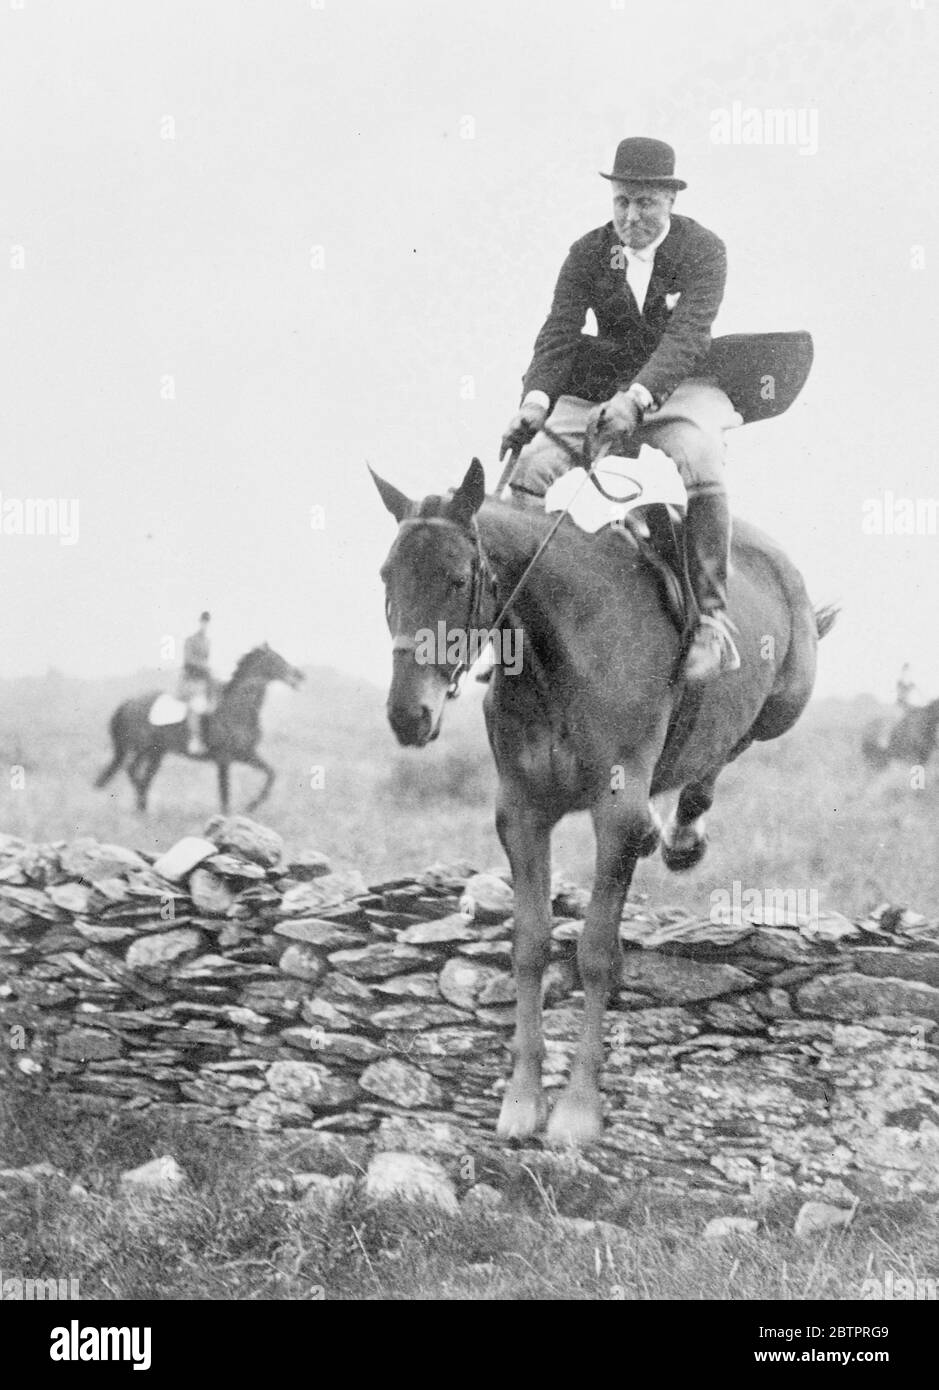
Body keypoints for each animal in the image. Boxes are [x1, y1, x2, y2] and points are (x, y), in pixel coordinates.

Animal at [95, 642, 302, 811]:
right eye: (275, 659)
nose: (300, 675)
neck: (237, 709)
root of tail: (129, 702)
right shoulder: (224, 758)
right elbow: (224, 792)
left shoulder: (246, 754)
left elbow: (271, 774)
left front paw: (252, 805)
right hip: (142, 748)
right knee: (132, 770)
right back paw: (142, 803)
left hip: (156, 752)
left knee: (145, 776)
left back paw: (143, 809)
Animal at [375, 461, 838, 1145]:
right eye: (387, 576)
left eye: (457, 578)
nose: (409, 715)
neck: (559, 647)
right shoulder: (522, 815)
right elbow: (530, 945)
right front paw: (522, 1099)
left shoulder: (614, 814)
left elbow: (595, 953)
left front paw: (578, 1109)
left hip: (788, 700)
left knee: (733, 744)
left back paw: (681, 831)